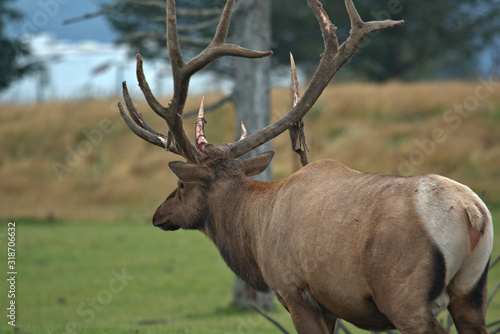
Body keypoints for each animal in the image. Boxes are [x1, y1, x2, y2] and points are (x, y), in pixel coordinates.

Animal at [116, 0, 492, 334]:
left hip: (404, 292)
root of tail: (471, 213)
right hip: (473, 291)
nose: (158, 214)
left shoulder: (295, 291)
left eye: (181, 185)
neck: (255, 234)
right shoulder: (330, 305)